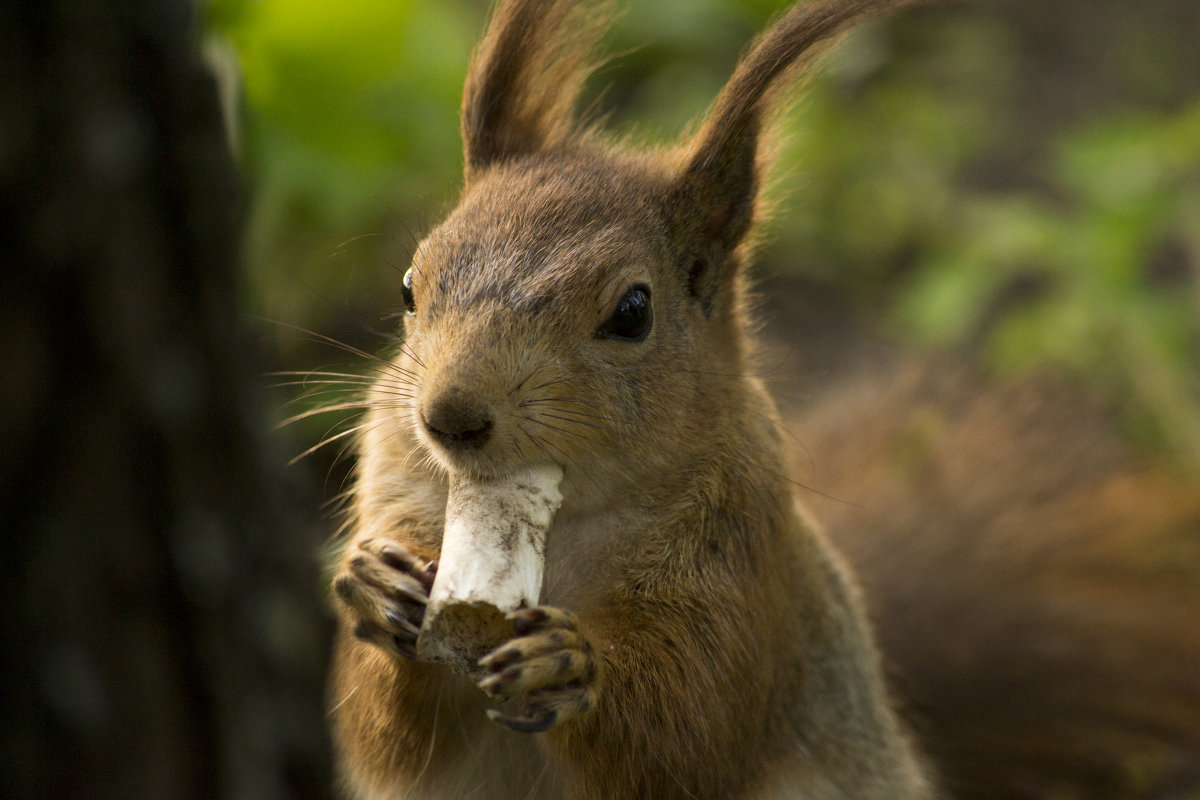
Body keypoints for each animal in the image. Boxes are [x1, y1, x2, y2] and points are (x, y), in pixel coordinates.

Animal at [326, 1, 1200, 800]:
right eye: (410, 285)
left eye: (632, 312)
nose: (449, 417)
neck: (568, 520)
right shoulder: (397, 486)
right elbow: (387, 739)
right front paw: (374, 588)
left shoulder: (746, 575)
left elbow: (688, 729)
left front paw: (570, 666)